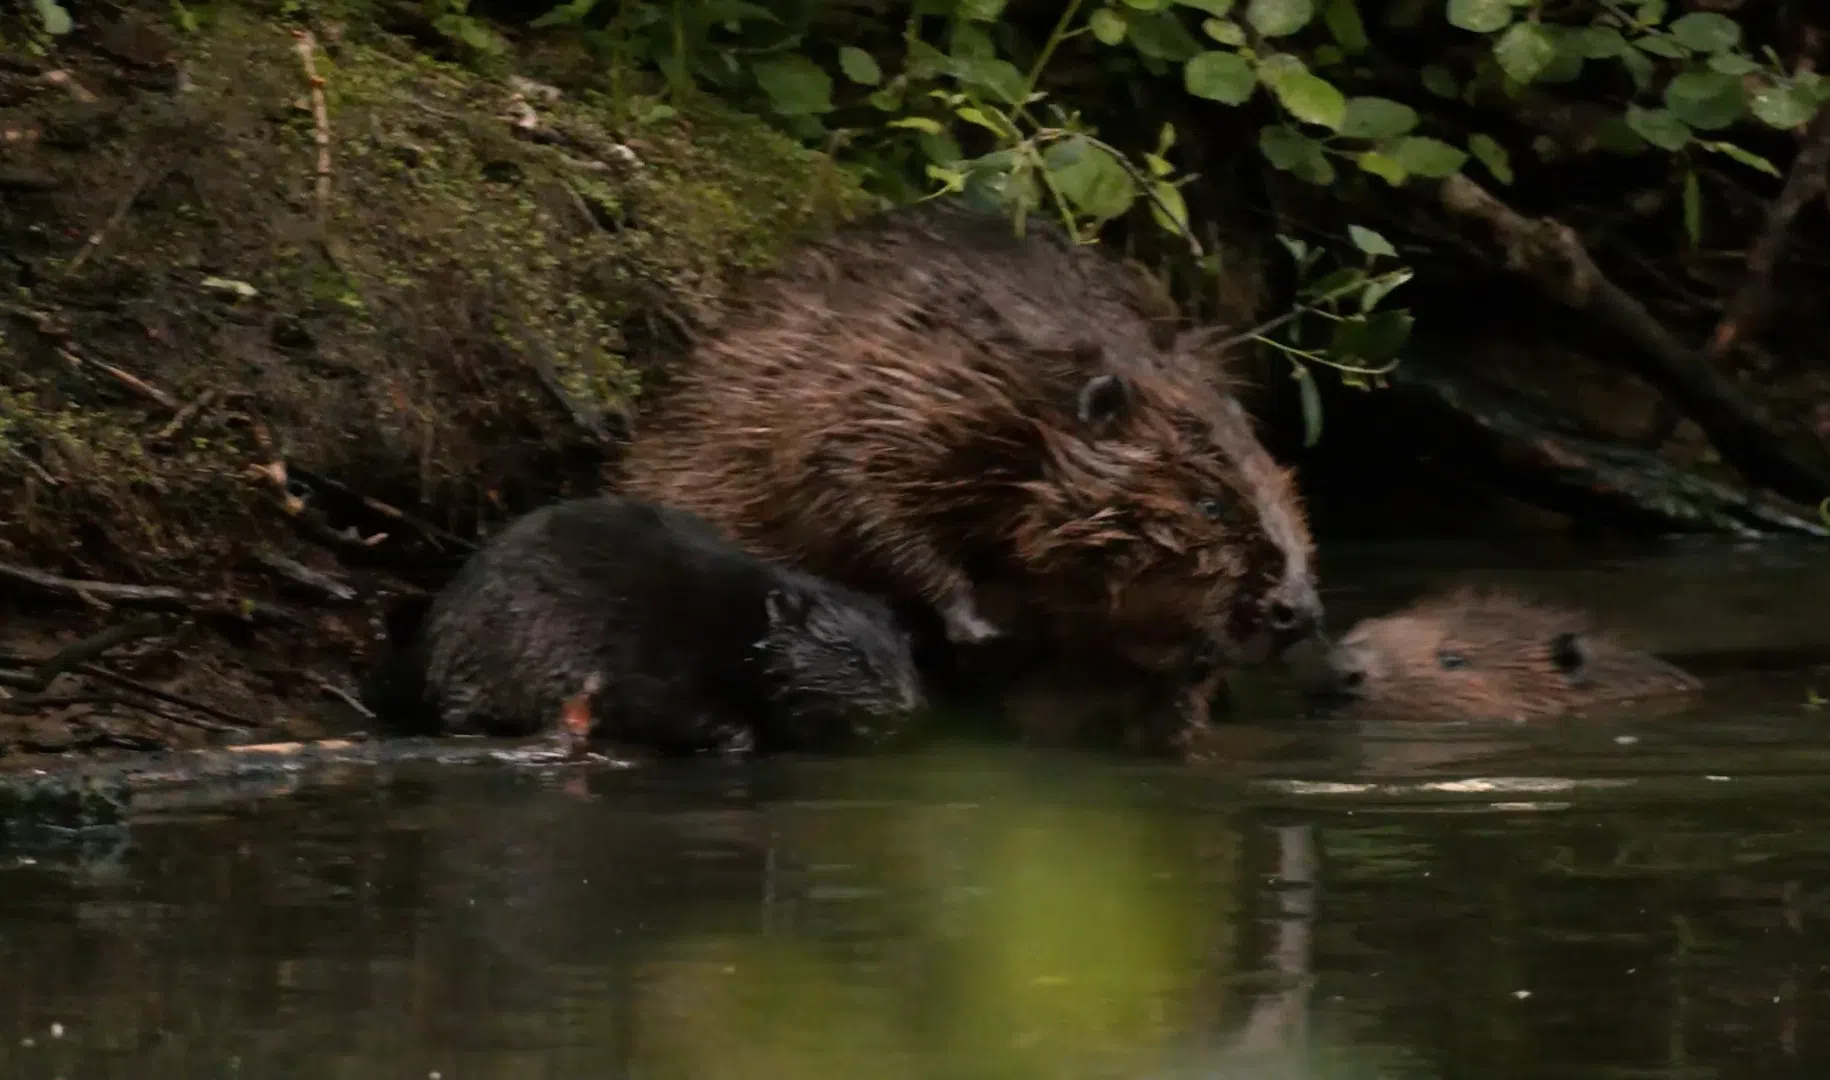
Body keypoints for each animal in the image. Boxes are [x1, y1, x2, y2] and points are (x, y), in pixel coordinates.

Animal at [360, 494, 929, 757]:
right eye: (852, 656)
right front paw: (738, 738)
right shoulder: (655, 656)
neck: (738, 622)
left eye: (907, 652)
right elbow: (668, 708)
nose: (909, 707)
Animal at [622, 198, 1324, 684]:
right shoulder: (878, 394)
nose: (1299, 612)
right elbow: (850, 490)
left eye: (1288, 495)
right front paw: (980, 621)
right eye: (1211, 505)